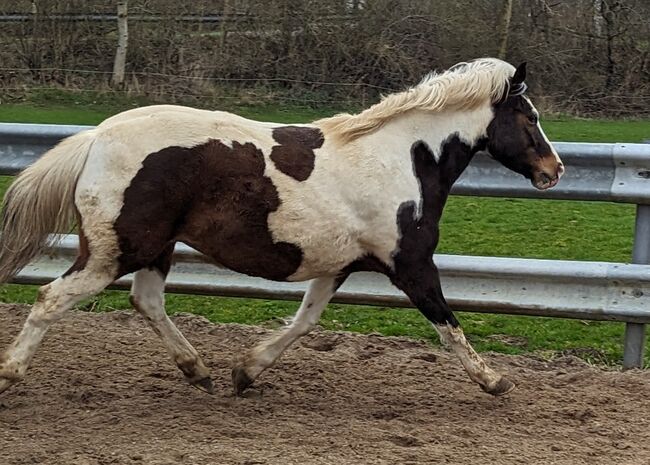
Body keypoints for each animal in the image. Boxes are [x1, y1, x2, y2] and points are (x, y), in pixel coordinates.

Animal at [0, 58, 560, 396]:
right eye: (529, 117)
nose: (553, 171)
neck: (402, 159)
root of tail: (96, 136)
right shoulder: (412, 266)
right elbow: (448, 325)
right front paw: (494, 381)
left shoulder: (338, 266)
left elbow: (305, 321)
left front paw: (245, 372)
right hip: (115, 251)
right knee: (52, 298)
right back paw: (11, 374)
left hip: (154, 249)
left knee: (147, 301)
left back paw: (199, 371)